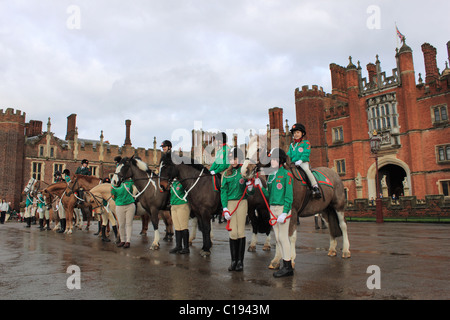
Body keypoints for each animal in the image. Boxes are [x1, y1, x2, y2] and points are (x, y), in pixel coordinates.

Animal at [241, 134, 350, 268]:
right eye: (246, 149)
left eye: (258, 149)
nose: (244, 171)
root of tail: (333, 173)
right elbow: (278, 237)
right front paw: (276, 260)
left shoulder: (292, 211)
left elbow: (291, 236)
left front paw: (291, 259)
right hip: (325, 210)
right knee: (331, 226)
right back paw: (332, 249)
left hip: (338, 206)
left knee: (343, 225)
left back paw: (346, 250)